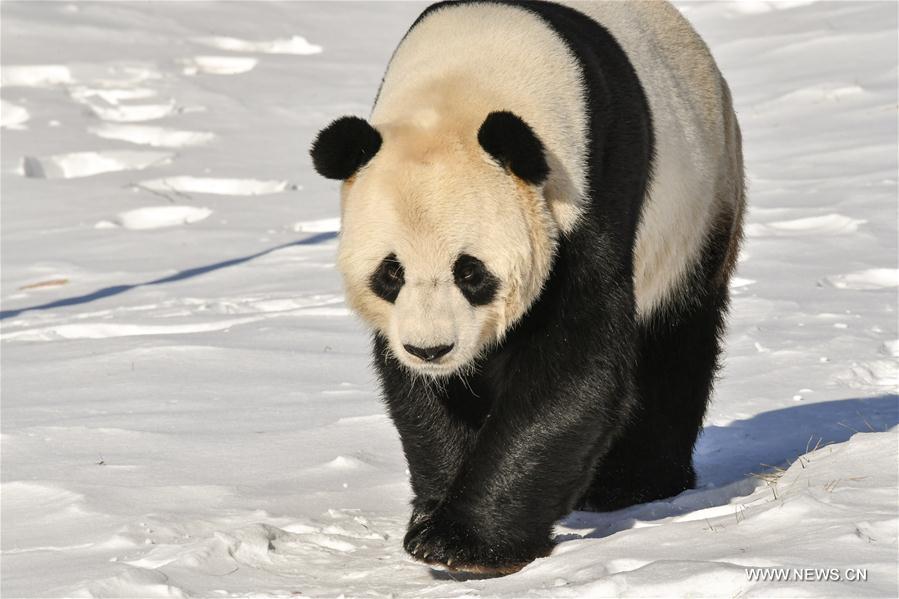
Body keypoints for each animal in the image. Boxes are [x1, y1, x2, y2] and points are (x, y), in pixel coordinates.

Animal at [310, 0, 744, 575]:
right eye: (391, 273)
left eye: (470, 272)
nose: (432, 350)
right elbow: (427, 394)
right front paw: (434, 518)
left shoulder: (589, 195)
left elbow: (573, 363)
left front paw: (466, 543)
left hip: (699, 207)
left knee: (674, 342)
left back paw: (633, 482)